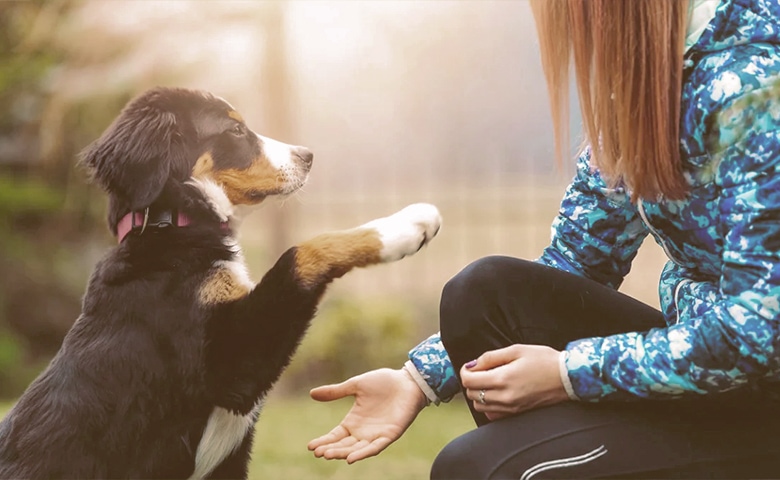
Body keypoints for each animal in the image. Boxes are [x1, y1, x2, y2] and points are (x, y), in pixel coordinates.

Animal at [0, 87, 438, 480]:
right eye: (236, 131)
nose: (308, 156)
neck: (172, 226)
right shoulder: (231, 363)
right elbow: (303, 252)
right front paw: (405, 227)